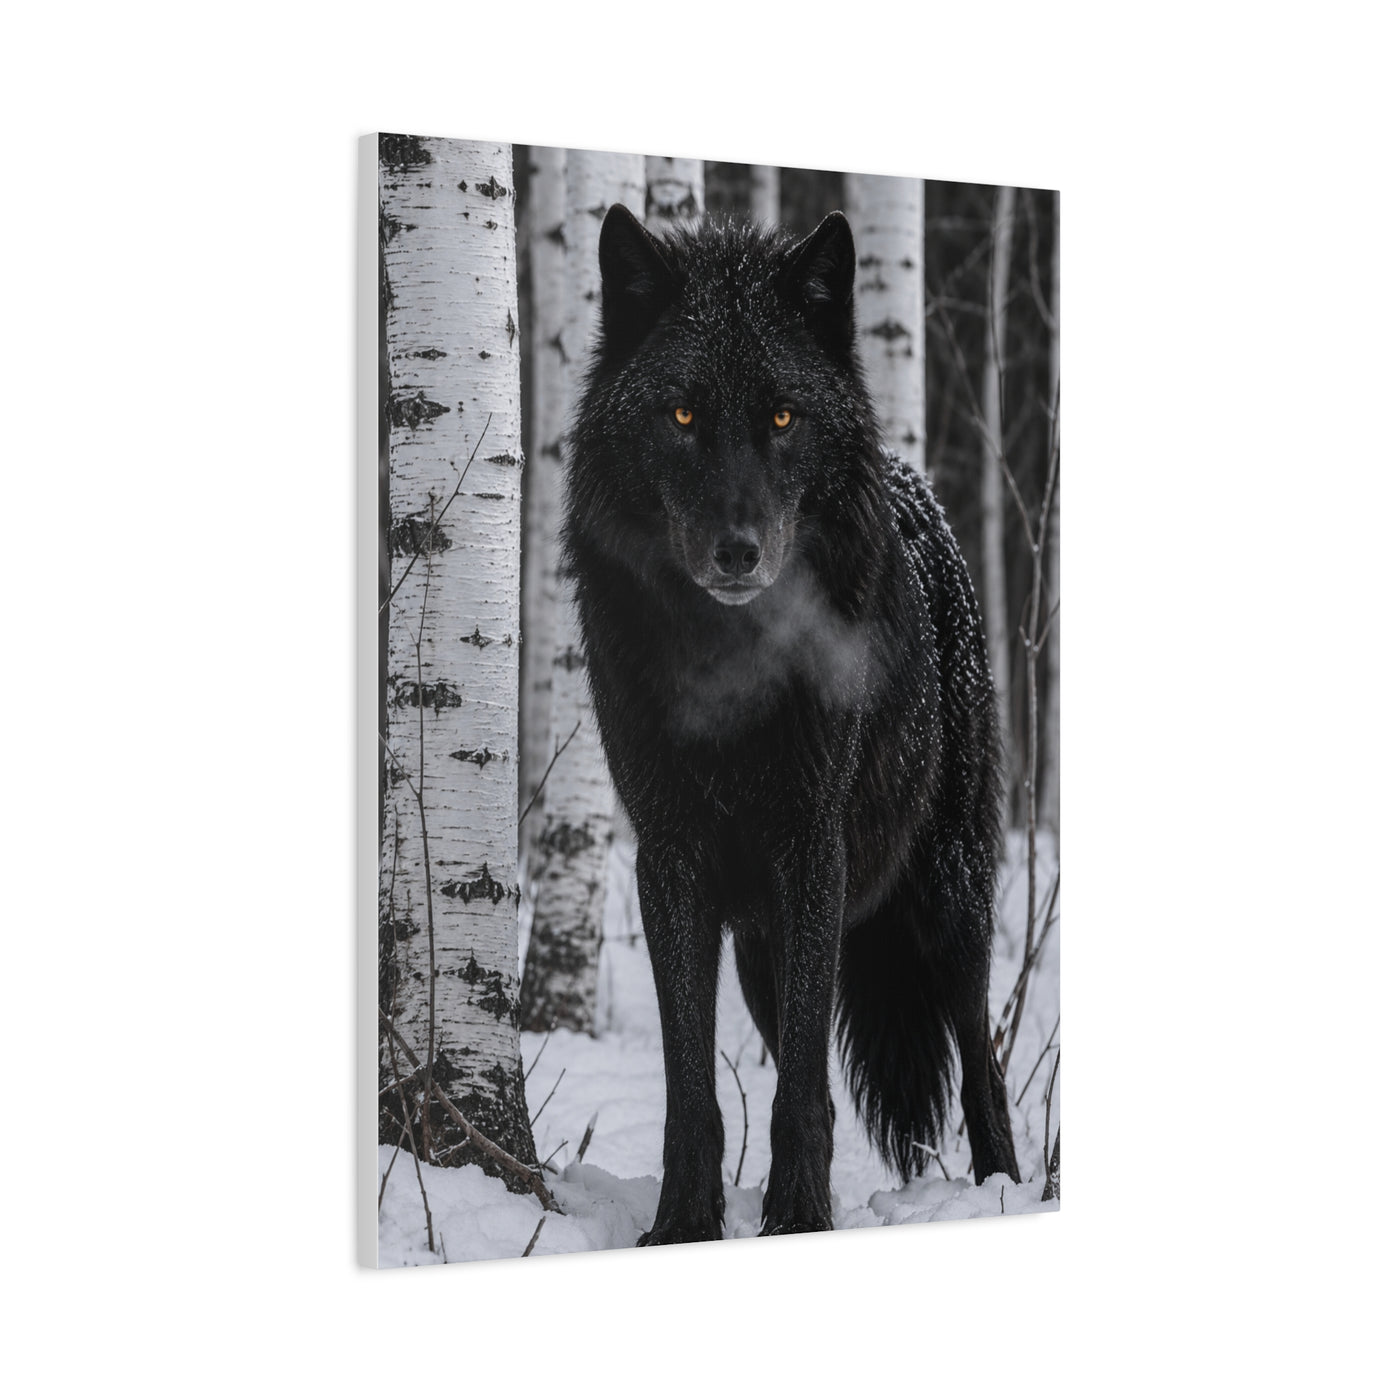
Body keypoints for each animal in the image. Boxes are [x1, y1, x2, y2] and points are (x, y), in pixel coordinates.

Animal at [562, 204, 1020, 1243]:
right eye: (682, 415)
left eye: (780, 417)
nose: (738, 552)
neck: (729, 666)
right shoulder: (671, 857)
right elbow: (694, 1086)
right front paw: (685, 1225)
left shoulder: (813, 849)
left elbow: (803, 1086)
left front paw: (801, 1219)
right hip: (765, 948)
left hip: (946, 903)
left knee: (983, 1062)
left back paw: (1005, 1191)